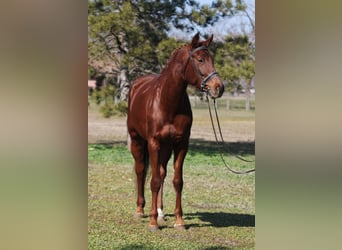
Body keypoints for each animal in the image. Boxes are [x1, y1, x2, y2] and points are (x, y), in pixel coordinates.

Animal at [127, 32, 223, 230]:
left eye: (212, 59)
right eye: (200, 60)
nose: (218, 87)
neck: (167, 101)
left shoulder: (181, 144)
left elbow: (177, 181)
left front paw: (179, 221)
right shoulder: (154, 143)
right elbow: (154, 181)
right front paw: (152, 222)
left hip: (166, 147)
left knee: (162, 172)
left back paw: (161, 213)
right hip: (137, 140)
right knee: (141, 170)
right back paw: (140, 210)